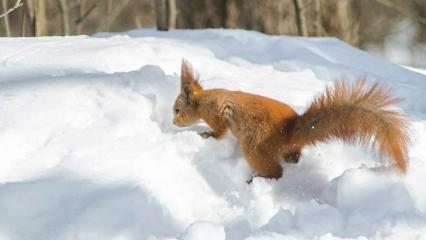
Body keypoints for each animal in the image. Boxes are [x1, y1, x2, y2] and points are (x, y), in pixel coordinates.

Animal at [172, 60, 410, 180]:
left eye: (177, 109)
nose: (173, 122)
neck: (203, 101)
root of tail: (289, 132)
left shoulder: (219, 112)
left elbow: (219, 130)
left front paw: (207, 134)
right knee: (293, 158)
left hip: (255, 147)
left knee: (276, 171)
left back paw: (259, 178)